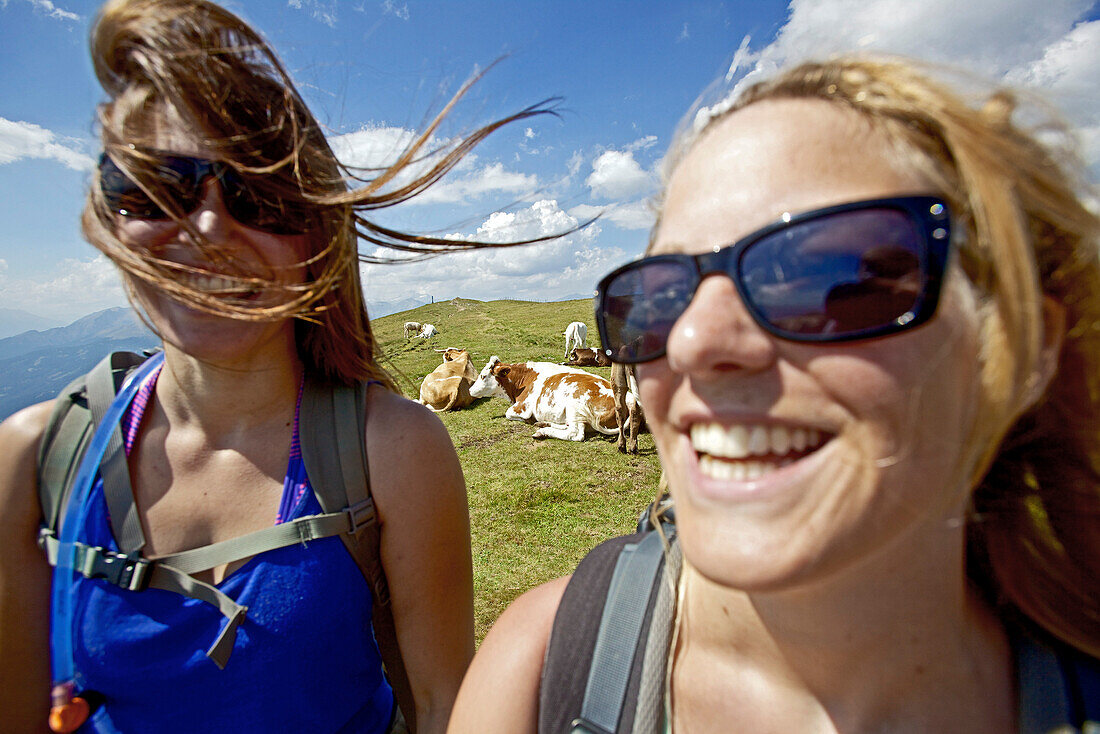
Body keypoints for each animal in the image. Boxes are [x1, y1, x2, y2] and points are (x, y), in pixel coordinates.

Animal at [468, 356, 633, 442]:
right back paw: (544, 424)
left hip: (575, 408)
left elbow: (509, 413)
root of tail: (629, 399)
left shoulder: (523, 406)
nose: (469, 390)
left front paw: (528, 420)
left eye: (483, 376)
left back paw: (543, 431)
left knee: (575, 433)